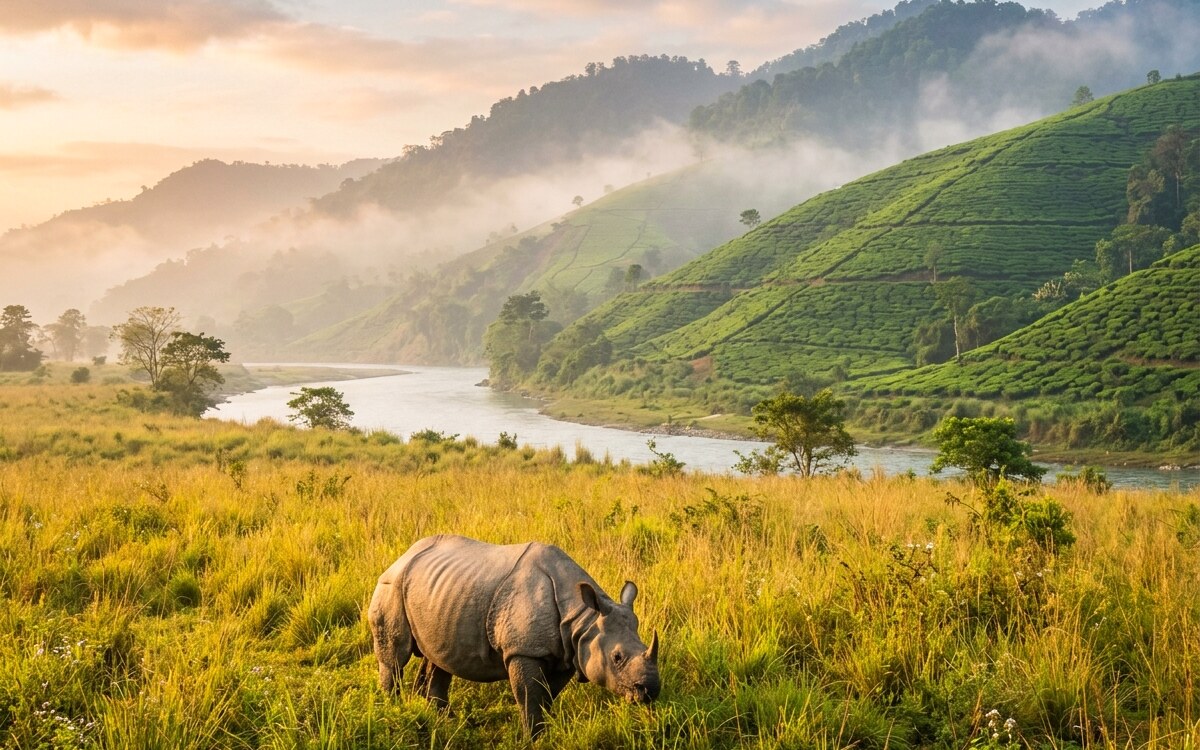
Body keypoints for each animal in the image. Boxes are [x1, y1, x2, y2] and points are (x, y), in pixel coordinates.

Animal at [368, 534, 660, 737]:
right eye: (617, 657)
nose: (650, 691)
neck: (583, 619)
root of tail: (403, 556)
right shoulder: (524, 650)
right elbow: (529, 696)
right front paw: (533, 738)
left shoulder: (567, 651)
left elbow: (546, 695)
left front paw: (543, 733)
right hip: (390, 586)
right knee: (394, 658)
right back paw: (393, 712)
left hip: (439, 594)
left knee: (440, 659)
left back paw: (448, 721)